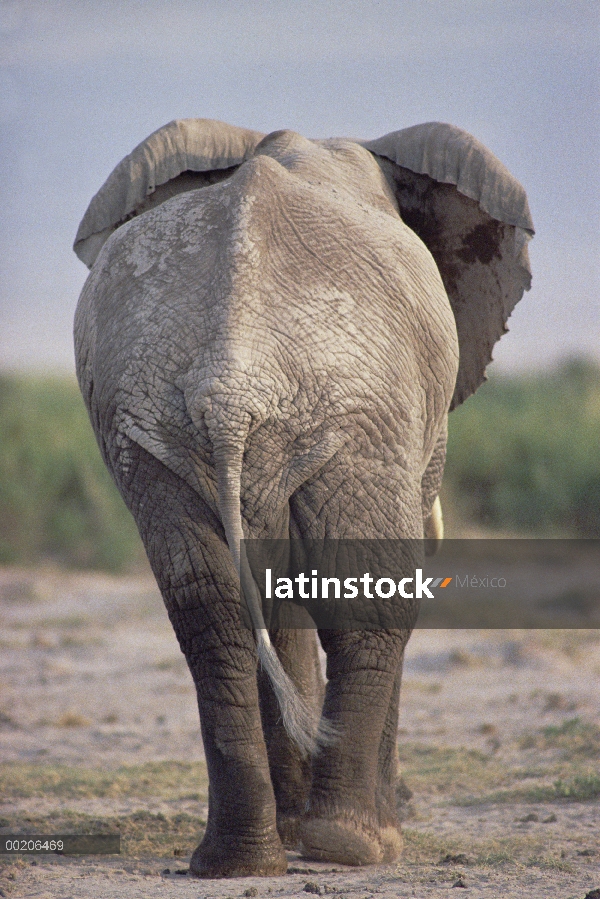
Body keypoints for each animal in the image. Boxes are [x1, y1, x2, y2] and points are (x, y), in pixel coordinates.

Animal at [72, 116, 532, 876]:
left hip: (143, 422)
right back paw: (353, 846)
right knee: (365, 597)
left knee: (214, 611)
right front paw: (375, 835)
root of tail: (231, 383)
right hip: (359, 413)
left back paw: (240, 860)